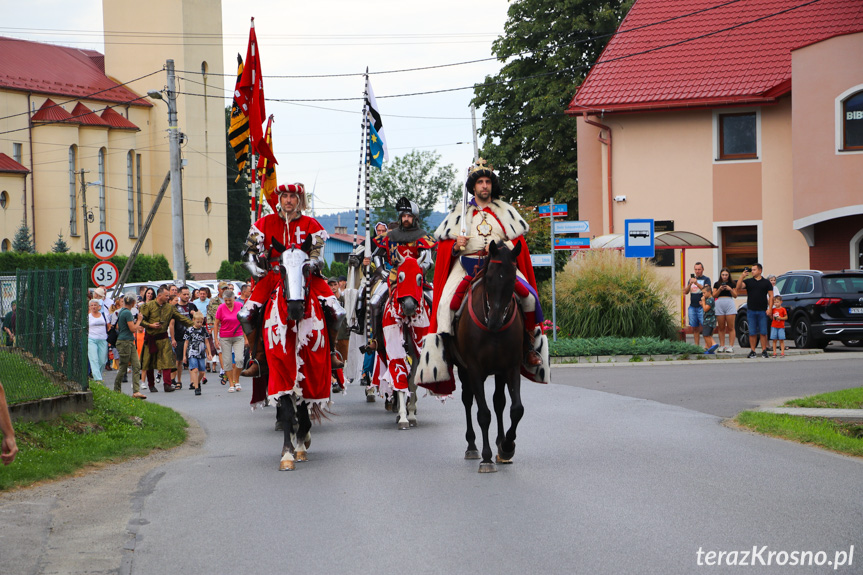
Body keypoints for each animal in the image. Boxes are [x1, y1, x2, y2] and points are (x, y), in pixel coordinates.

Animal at [380, 254, 430, 430]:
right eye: (400, 277)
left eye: (419, 278)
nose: (408, 305)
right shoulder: (394, 349)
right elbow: (399, 379)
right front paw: (403, 417)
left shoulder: (417, 353)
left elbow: (412, 382)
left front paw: (412, 413)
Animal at [452, 238, 528, 472]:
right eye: (490, 278)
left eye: (513, 279)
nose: (494, 321)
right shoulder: (474, 370)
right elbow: (483, 414)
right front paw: (486, 458)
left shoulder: (511, 367)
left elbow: (516, 409)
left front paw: (507, 447)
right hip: (463, 370)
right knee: (468, 401)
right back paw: (472, 446)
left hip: (499, 372)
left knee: (498, 402)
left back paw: (500, 444)